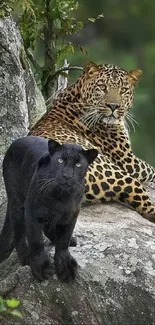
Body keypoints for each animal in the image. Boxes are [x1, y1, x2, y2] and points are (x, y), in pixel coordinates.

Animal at [30, 60, 155, 223]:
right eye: (102, 87)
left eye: (123, 90)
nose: (114, 106)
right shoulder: (129, 162)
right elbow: (151, 169)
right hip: (117, 173)